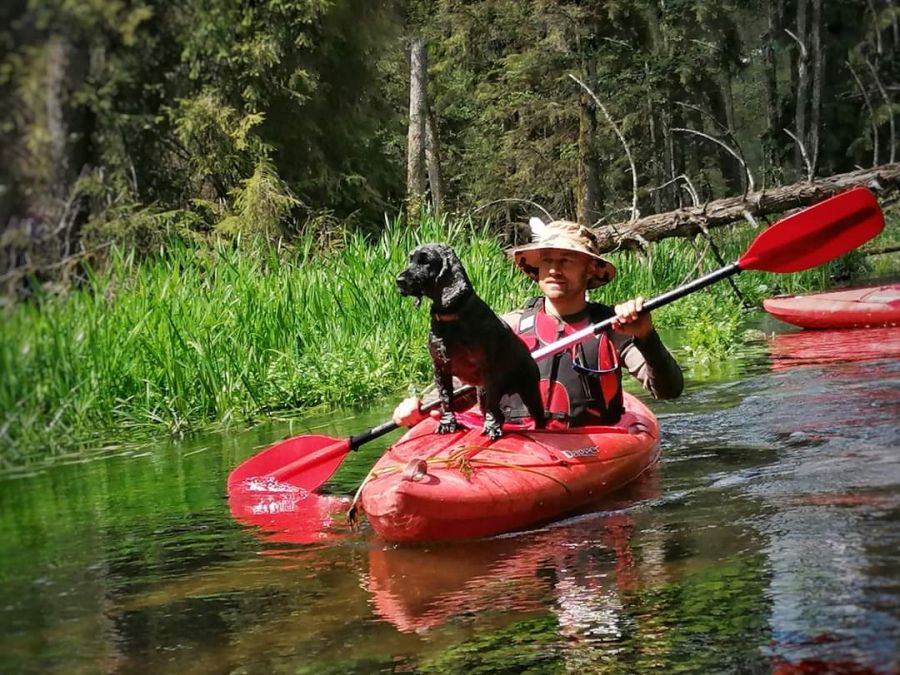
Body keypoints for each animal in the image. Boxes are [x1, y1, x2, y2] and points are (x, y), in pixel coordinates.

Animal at [396, 246, 548, 440]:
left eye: (426, 261)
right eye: (410, 259)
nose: (398, 280)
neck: (452, 317)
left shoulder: (489, 370)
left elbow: (491, 403)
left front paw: (492, 428)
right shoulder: (440, 368)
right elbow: (445, 398)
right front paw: (447, 423)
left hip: (529, 390)